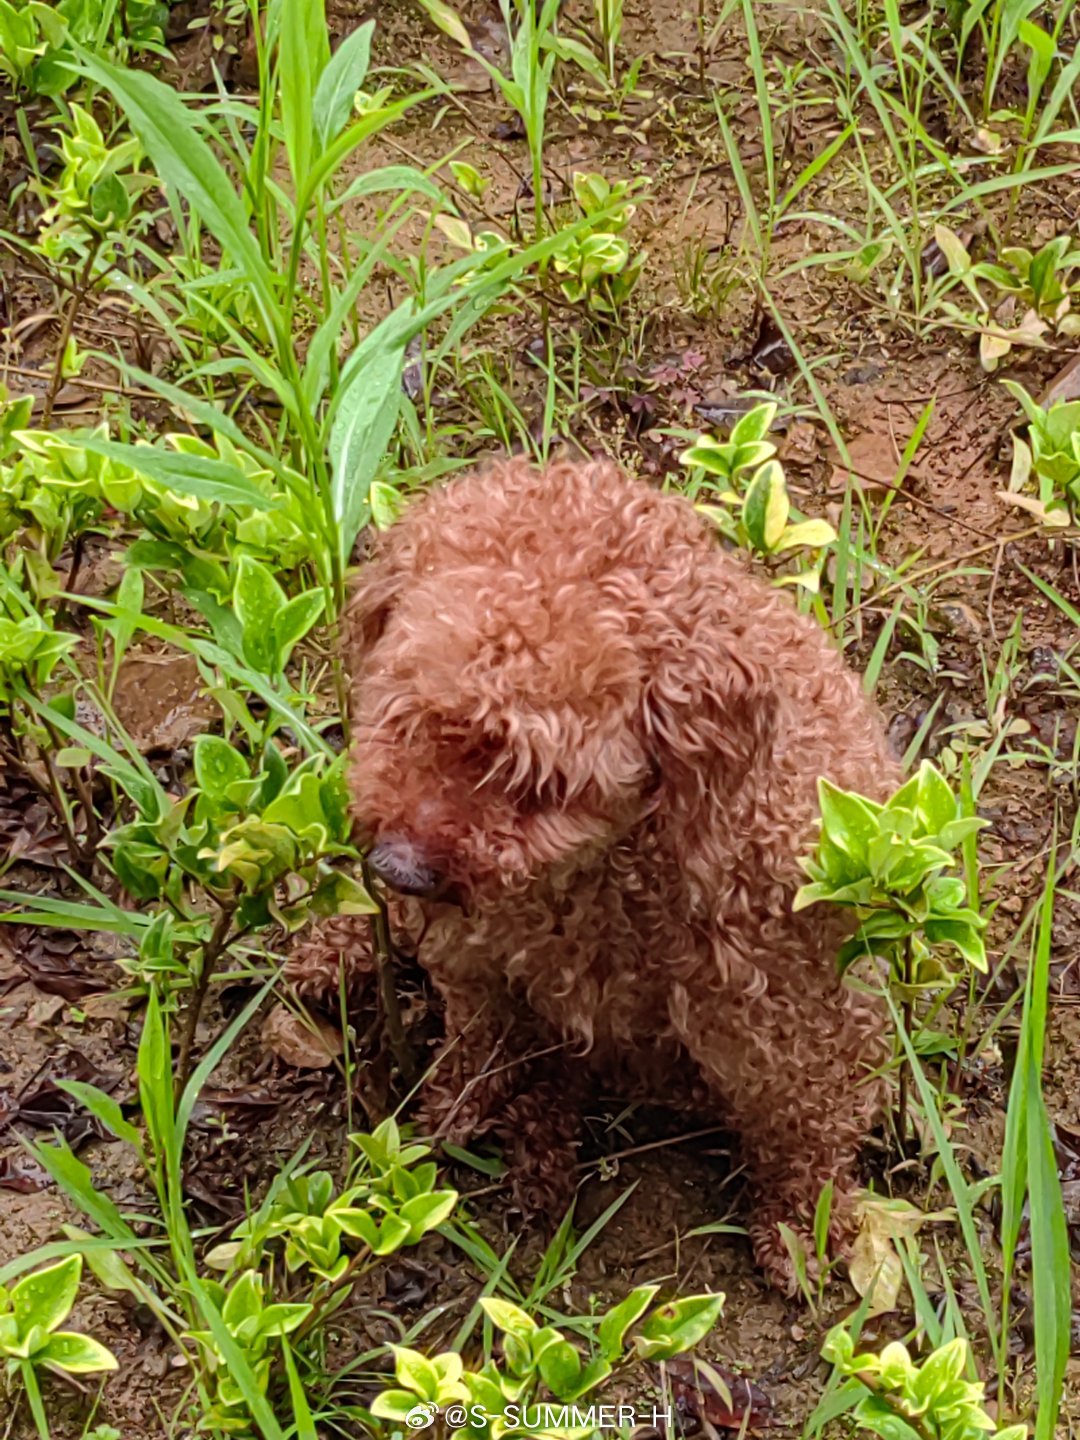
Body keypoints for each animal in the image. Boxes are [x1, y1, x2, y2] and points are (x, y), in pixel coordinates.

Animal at [315, 455, 904, 1290]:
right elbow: (480, 1033)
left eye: (534, 783)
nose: (398, 868)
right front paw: (452, 1109)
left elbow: (804, 1121)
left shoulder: (786, 1003)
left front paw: (802, 1227)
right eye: (408, 717)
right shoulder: (476, 949)